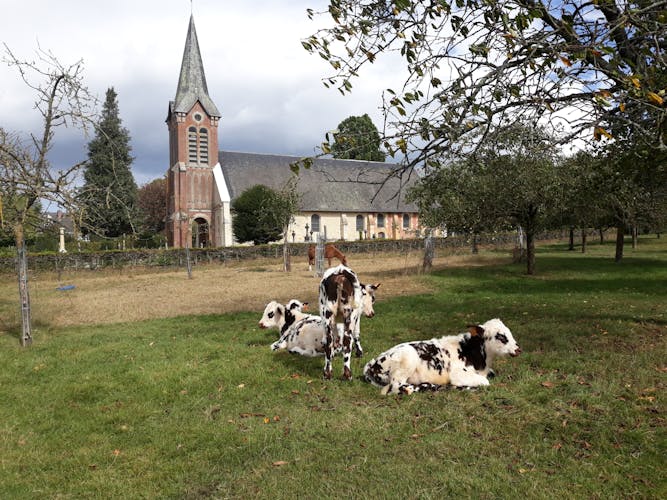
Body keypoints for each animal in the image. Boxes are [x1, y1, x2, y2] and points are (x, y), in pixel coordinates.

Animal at [366, 318, 520, 396]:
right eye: (500, 336)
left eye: (509, 332)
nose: (518, 349)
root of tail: (371, 364)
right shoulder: (458, 374)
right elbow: (485, 382)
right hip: (407, 360)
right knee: (398, 388)